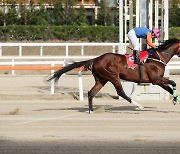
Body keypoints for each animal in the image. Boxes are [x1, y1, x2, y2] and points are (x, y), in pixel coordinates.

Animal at [48, 38, 180, 113]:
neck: (157, 58)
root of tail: (96, 59)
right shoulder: (155, 79)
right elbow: (173, 83)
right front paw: (175, 98)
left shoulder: (158, 81)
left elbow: (169, 88)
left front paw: (175, 99)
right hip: (113, 76)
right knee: (121, 92)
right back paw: (138, 105)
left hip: (101, 79)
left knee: (91, 93)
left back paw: (91, 111)